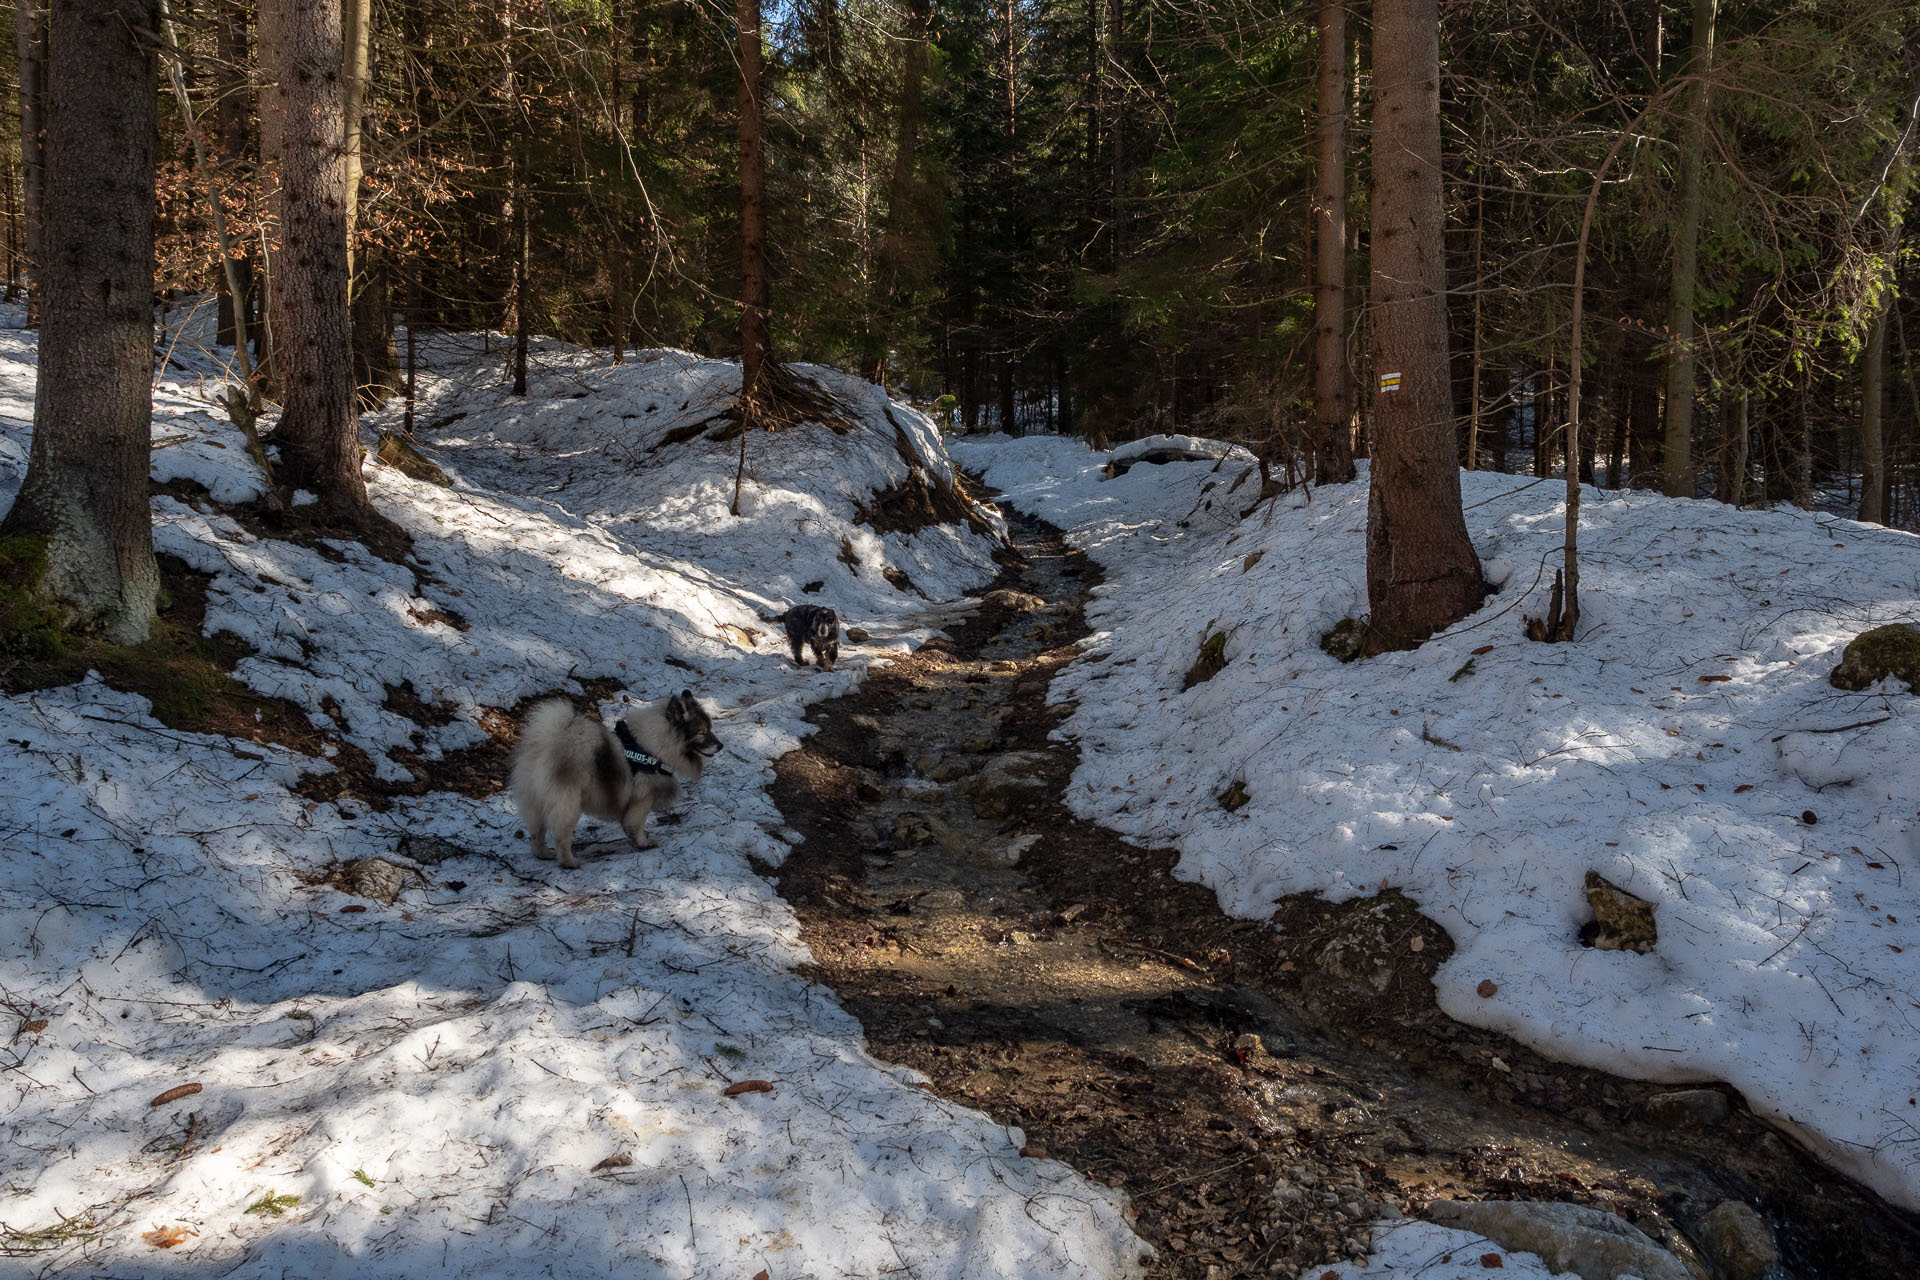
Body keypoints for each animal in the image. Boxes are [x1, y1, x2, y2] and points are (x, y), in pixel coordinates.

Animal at [506, 690, 721, 871]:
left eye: (710, 728)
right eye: (702, 732)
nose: (720, 746)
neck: (654, 746)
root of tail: (546, 744)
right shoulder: (643, 798)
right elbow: (635, 823)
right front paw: (643, 843)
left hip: (536, 803)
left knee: (536, 832)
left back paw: (543, 854)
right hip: (568, 804)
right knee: (561, 835)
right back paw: (569, 862)